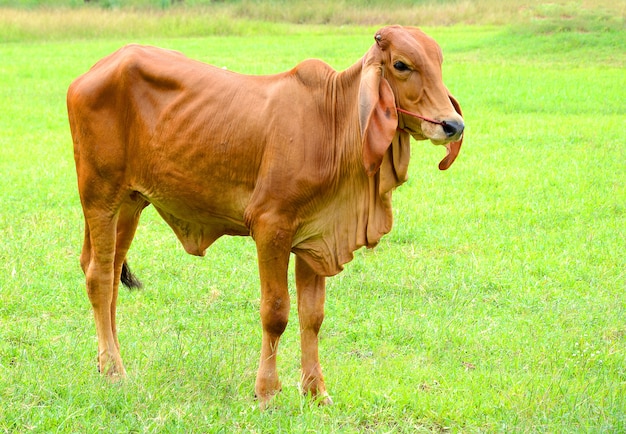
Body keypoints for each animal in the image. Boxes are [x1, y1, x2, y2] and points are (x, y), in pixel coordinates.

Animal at [67, 26, 464, 406]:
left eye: (439, 62)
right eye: (401, 65)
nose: (453, 125)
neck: (333, 122)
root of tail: (98, 69)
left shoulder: (315, 238)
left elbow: (312, 316)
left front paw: (316, 391)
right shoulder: (271, 227)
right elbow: (276, 313)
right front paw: (268, 392)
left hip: (131, 203)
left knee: (109, 273)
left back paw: (107, 361)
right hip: (100, 196)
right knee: (99, 275)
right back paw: (114, 369)